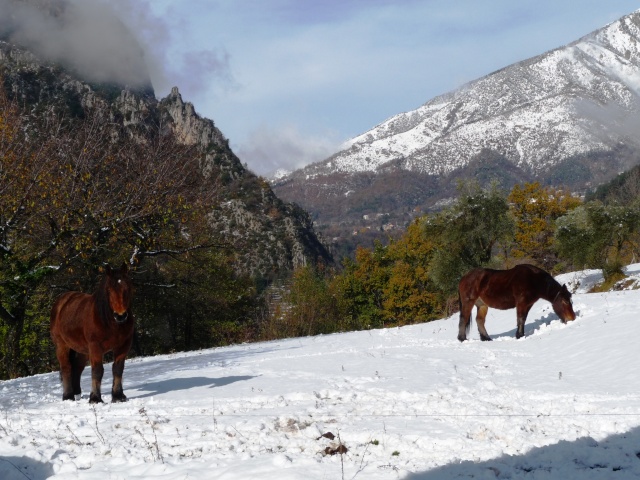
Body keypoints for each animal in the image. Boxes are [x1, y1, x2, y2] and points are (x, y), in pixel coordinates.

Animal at [50, 264, 134, 404]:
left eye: (127, 288)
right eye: (109, 290)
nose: (121, 316)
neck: (109, 322)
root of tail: (61, 302)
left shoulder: (123, 345)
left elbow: (118, 369)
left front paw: (118, 396)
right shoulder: (95, 347)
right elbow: (97, 370)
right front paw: (95, 398)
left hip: (82, 350)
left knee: (77, 368)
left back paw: (77, 393)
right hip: (62, 346)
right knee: (66, 367)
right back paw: (68, 396)